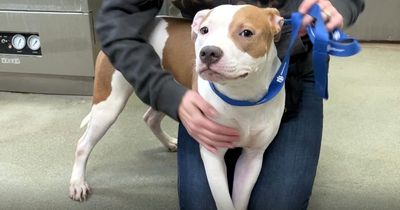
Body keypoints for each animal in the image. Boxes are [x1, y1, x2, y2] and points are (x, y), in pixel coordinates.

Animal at [69, 3, 284, 210]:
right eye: (205, 30)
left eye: (246, 32)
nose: (208, 52)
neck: (242, 97)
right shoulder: (212, 154)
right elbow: (224, 200)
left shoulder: (252, 159)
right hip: (109, 105)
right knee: (83, 145)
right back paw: (78, 182)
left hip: (166, 90)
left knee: (150, 118)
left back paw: (169, 142)